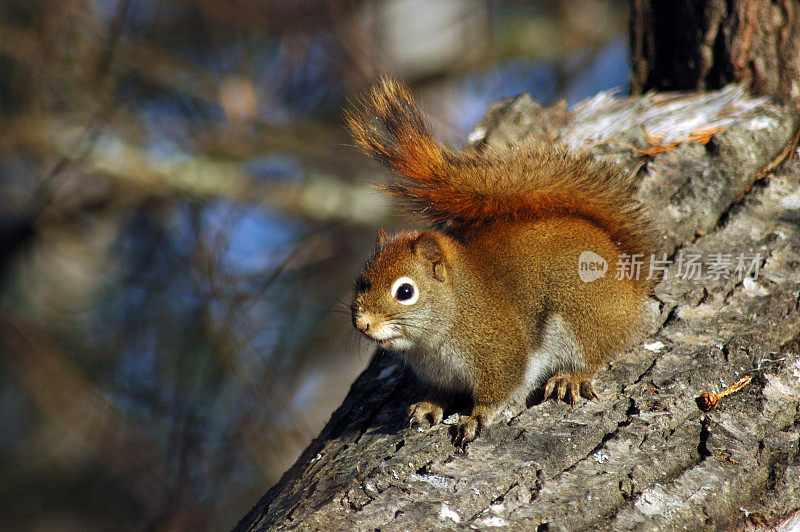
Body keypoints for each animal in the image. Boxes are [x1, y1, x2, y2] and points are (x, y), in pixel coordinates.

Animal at [346, 78, 652, 444]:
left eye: (405, 292)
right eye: (361, 281)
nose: (362, 324)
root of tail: (629, 281)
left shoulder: (501, 351)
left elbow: (500, 389)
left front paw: (476, 417)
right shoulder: (441, 374)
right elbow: (441, 393)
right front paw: (428, 405)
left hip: (582, 314)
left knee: (594, 353)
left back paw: (571, 377)